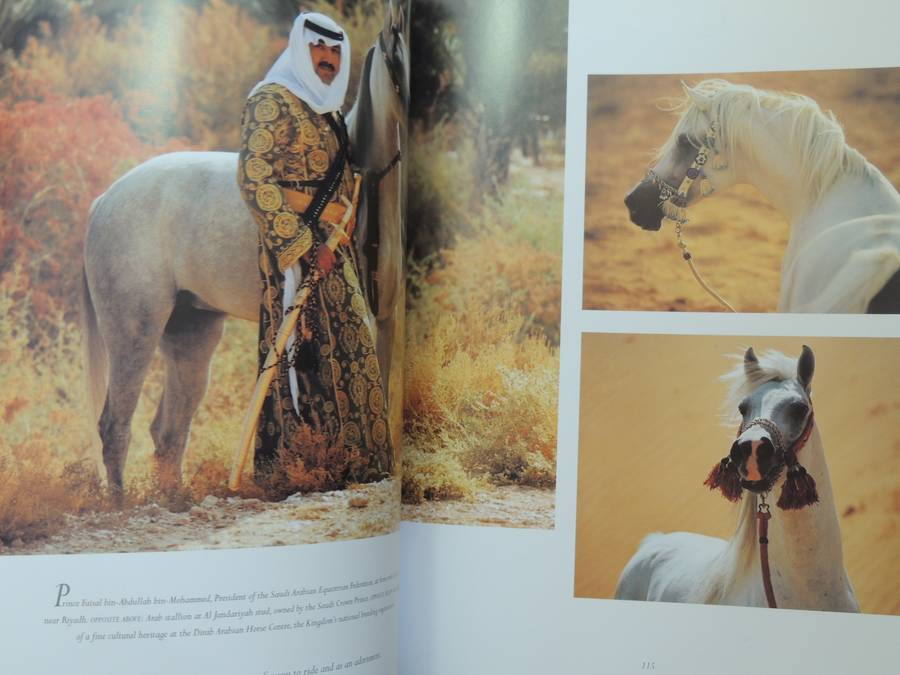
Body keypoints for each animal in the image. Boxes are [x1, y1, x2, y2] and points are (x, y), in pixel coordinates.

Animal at [80, 2, 409, 499]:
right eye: (400, 50)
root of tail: (104, 200)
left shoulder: (387, 320)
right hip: (134, 330)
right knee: (115, 425)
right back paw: (120, 506)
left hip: (192, 333)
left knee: (168, 430)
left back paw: (175, 499)